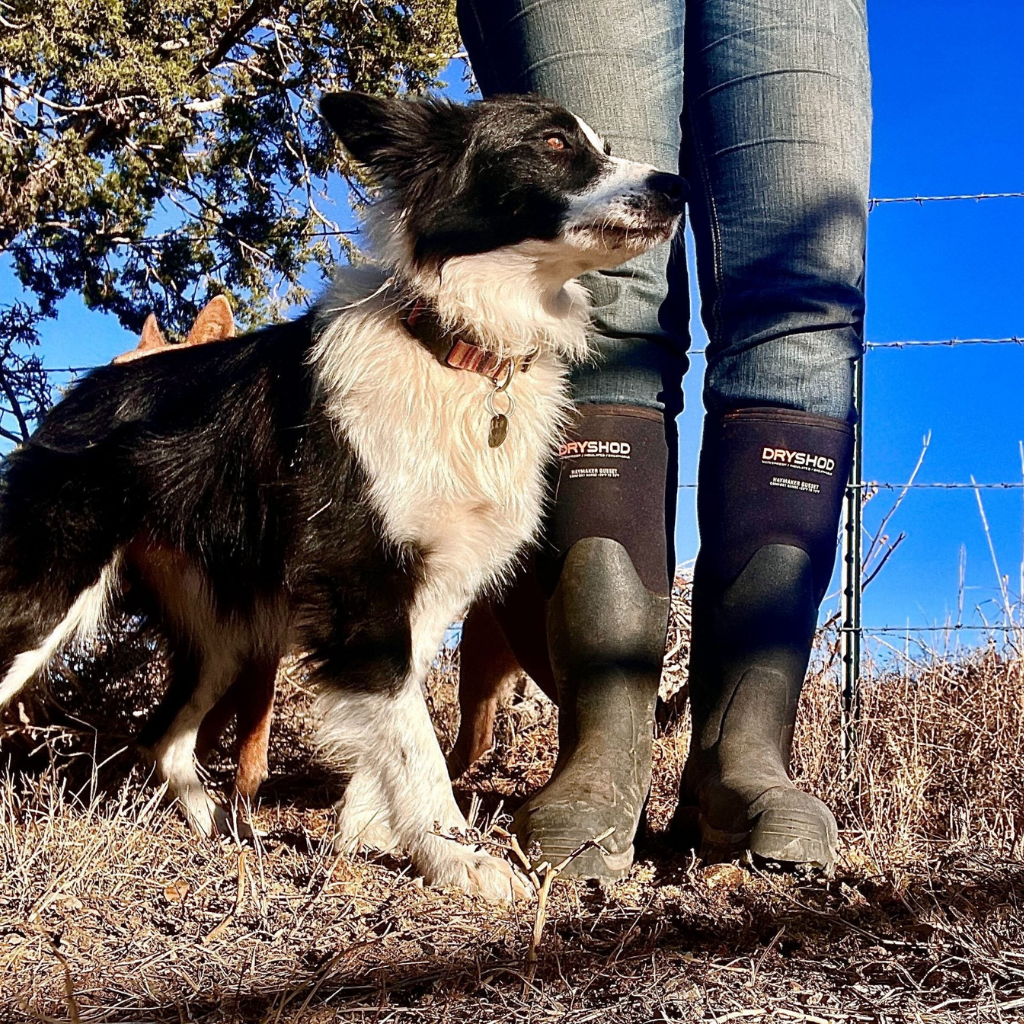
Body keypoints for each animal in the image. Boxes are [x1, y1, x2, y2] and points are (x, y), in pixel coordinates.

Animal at [2, 90, 688, 897]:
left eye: (601, 145)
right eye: (553, 144)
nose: (680, 186)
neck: (459, 348)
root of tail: (85, 390)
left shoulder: (427, 588)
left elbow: (396, 715)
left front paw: (369, 833)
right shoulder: (361, 584)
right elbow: (413, 738)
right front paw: (458, 855)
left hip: (226, 630)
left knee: (163, 736)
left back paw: (222, 830)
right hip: (52, 588)